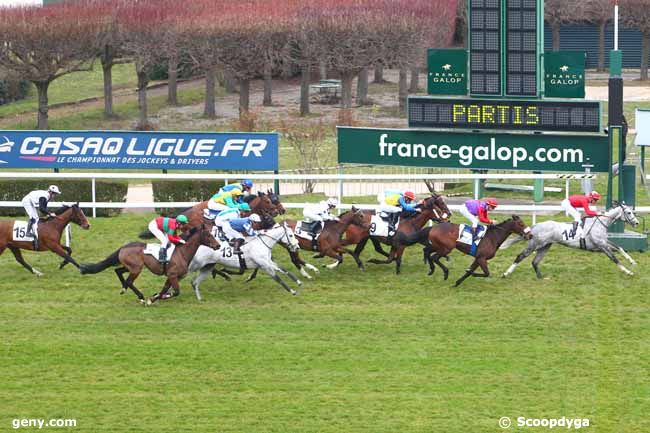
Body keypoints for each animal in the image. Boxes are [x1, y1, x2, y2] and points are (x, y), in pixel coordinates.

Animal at [80, 223, 218, 304]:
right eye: (208, 234)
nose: (218, 245)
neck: (182, 252)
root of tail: (123, 247)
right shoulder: (173, 275)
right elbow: (176, 292)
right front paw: (152, 299)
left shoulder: (173, 276)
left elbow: (164, 290)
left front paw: (155, 297)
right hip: (136, 268)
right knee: (129, 281)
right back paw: (138, 295)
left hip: (132, 267)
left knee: (118, 271)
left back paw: (126, 289)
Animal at [404, 214, 532, 286]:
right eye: (521, 224)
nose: (530, 235)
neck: (493, 236)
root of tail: (433, 227)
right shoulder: (482, 258)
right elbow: (486, 273)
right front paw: (472, 274)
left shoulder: (478, 258)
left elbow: (470, 271)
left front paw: (457, 283)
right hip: (446, 248)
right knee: (434, 257)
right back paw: (445, 272)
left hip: (438, 246)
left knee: (427, 251)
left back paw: (431, 269)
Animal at [502, 202, 636, 278]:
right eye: (629, 212)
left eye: (632, 212)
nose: (636, 222)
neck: (600, 223)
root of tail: (535, 226)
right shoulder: (601, 246)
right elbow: (614, 258)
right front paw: (628, 272)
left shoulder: (604, 242)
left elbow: (620, 248)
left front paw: (632, 262)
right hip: (534, 245)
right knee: (520, 256)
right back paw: (506, 273)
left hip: (545, 246)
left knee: (535, 262)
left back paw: (540, 276)